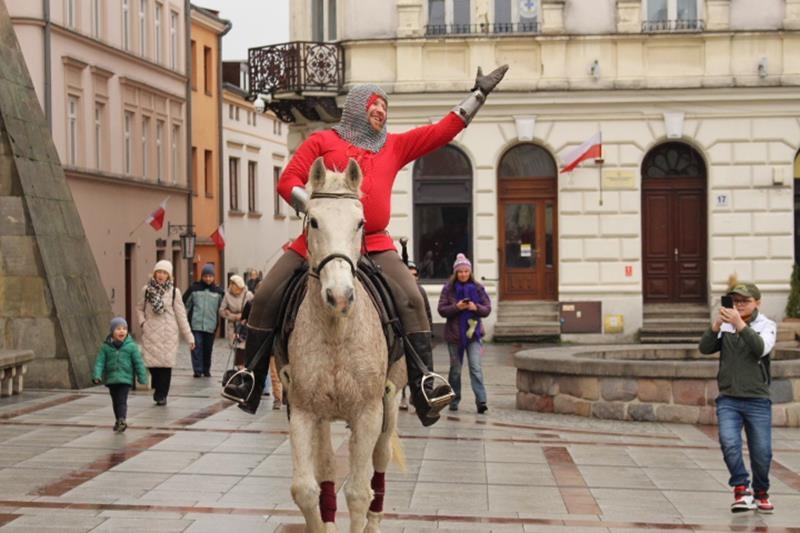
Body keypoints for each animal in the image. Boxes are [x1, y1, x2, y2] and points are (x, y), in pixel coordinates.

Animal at [283, 157, 405, 533]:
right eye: (314, 220)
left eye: (359, 222)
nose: (339, 296)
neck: (336, 330)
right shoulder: (302, 410)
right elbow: (304, 488)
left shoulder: (368, 412)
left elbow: (359, 493)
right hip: (323, 416)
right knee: (325, 465)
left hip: (390, 403)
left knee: (379, 460)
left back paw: (375, 521)